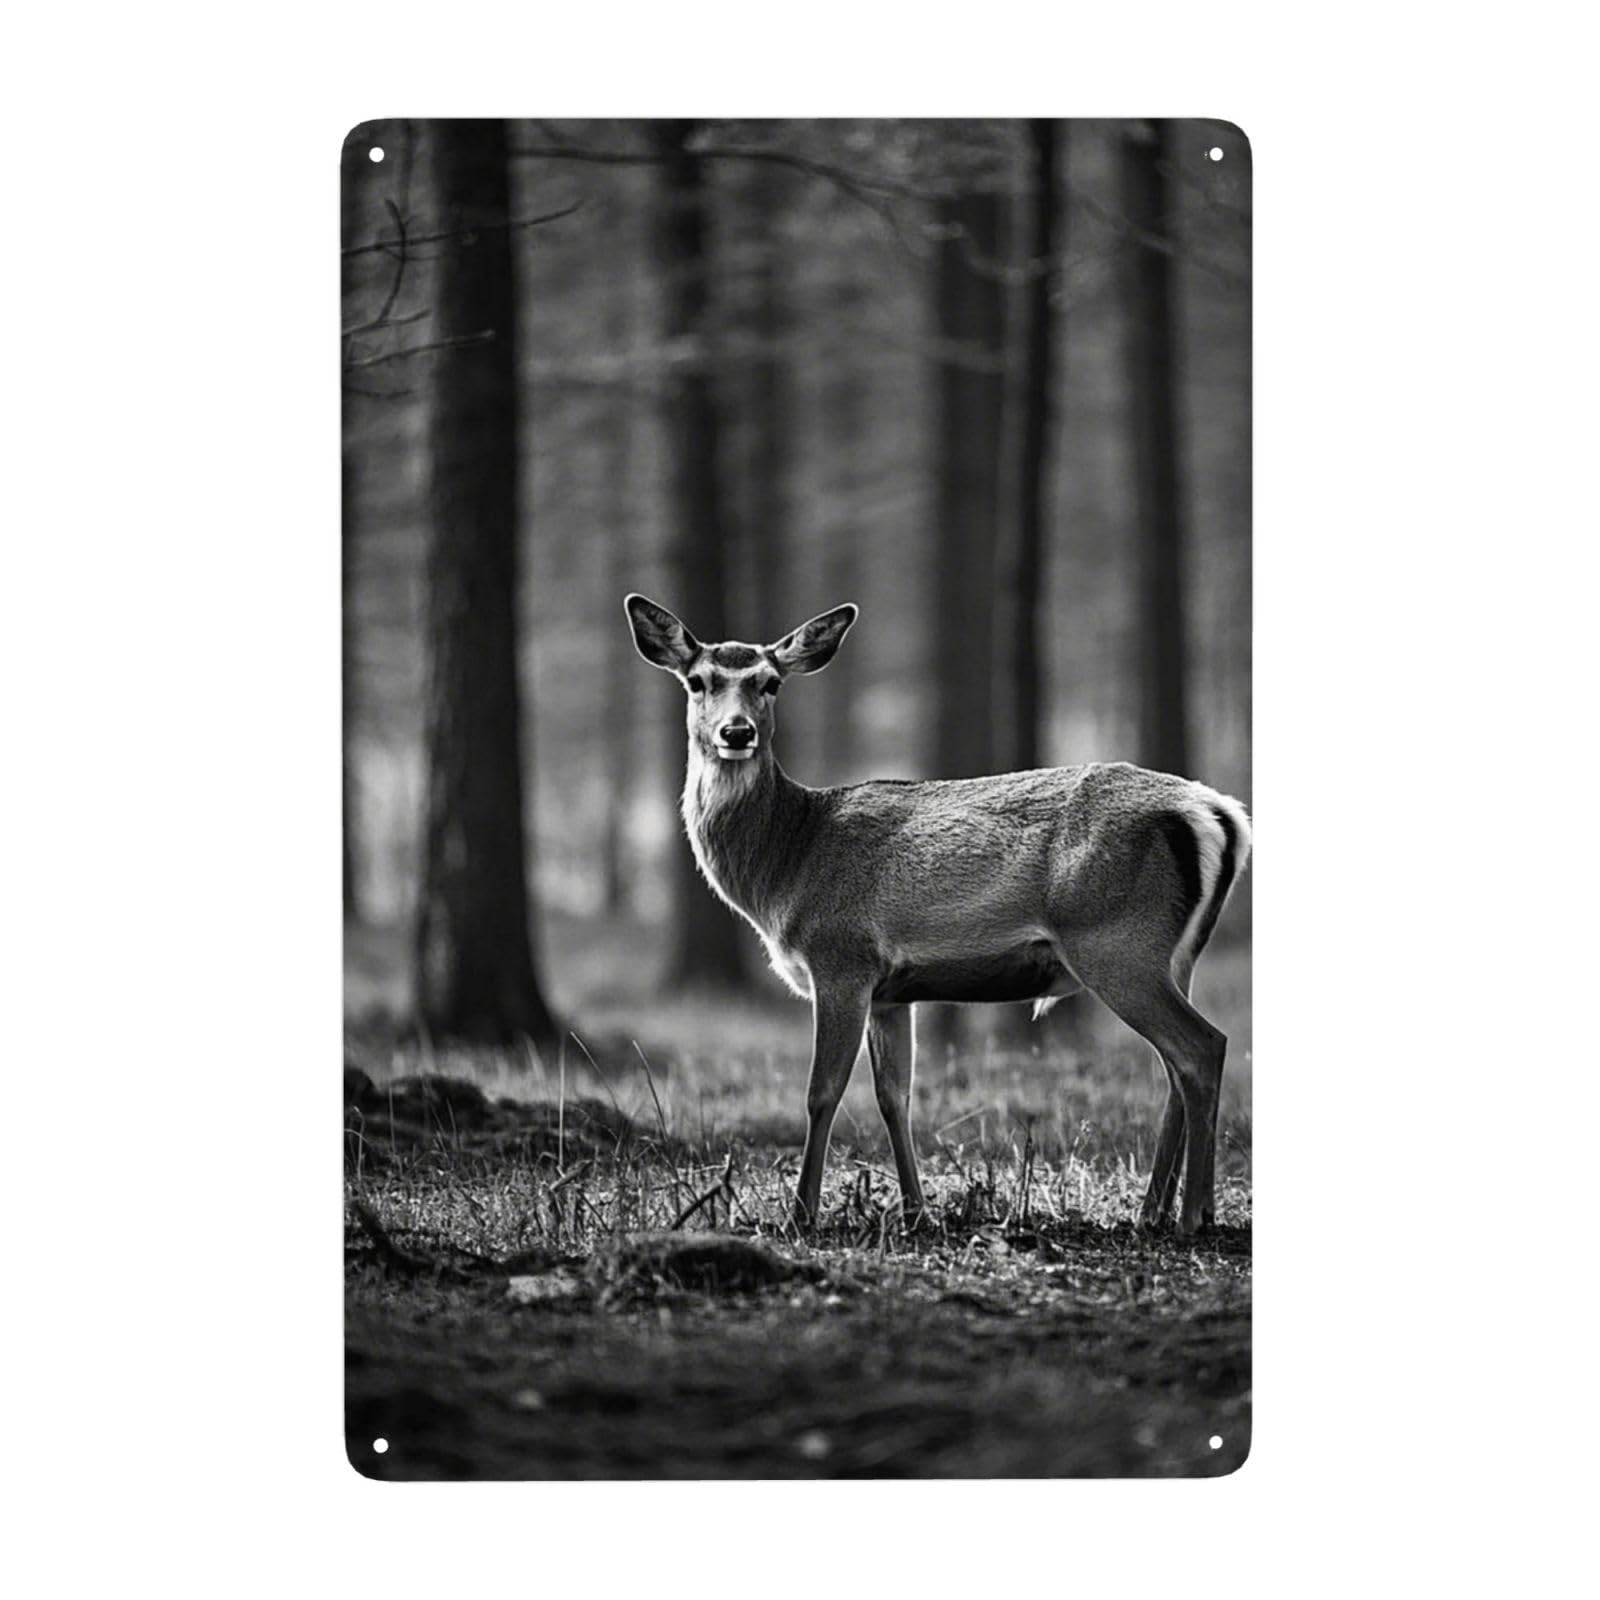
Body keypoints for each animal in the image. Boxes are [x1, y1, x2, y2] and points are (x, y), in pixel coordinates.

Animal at [624, 593, 1252, 1238]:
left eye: (769, 682)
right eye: (698, 681)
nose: (736, 731)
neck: (789, 864)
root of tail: (1217, 810)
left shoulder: (841, 957)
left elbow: (822, 1090)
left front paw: (801, 1214)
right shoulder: (890, 993)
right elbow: (893, 1095)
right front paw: (916, 1210)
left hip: (1114, 940)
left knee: (1202, 1046)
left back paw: (1194, 1214)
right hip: (1175, 953)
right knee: (1176, 1066)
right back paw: (1153, 1210)